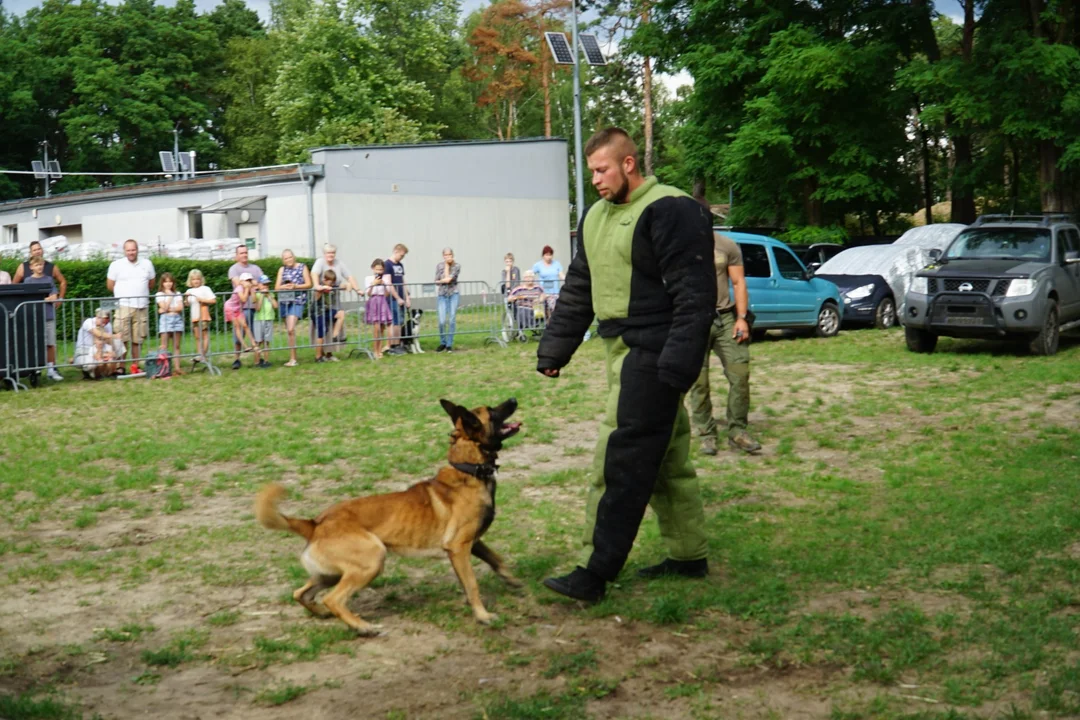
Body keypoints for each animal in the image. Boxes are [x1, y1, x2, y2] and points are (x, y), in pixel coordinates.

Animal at [254, 399, 520, 634]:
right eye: (492, 411)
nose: (513, 398)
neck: (468, 470)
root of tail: (315, 524)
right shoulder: (459, 546)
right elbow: (472, 585)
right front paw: (483, 616)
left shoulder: (472, 543)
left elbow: (495, 559)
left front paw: (512, 580)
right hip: (372, 559)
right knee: (333, 598)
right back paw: (362, 627)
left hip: (330, 573)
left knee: (301, 593)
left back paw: (323, 613)